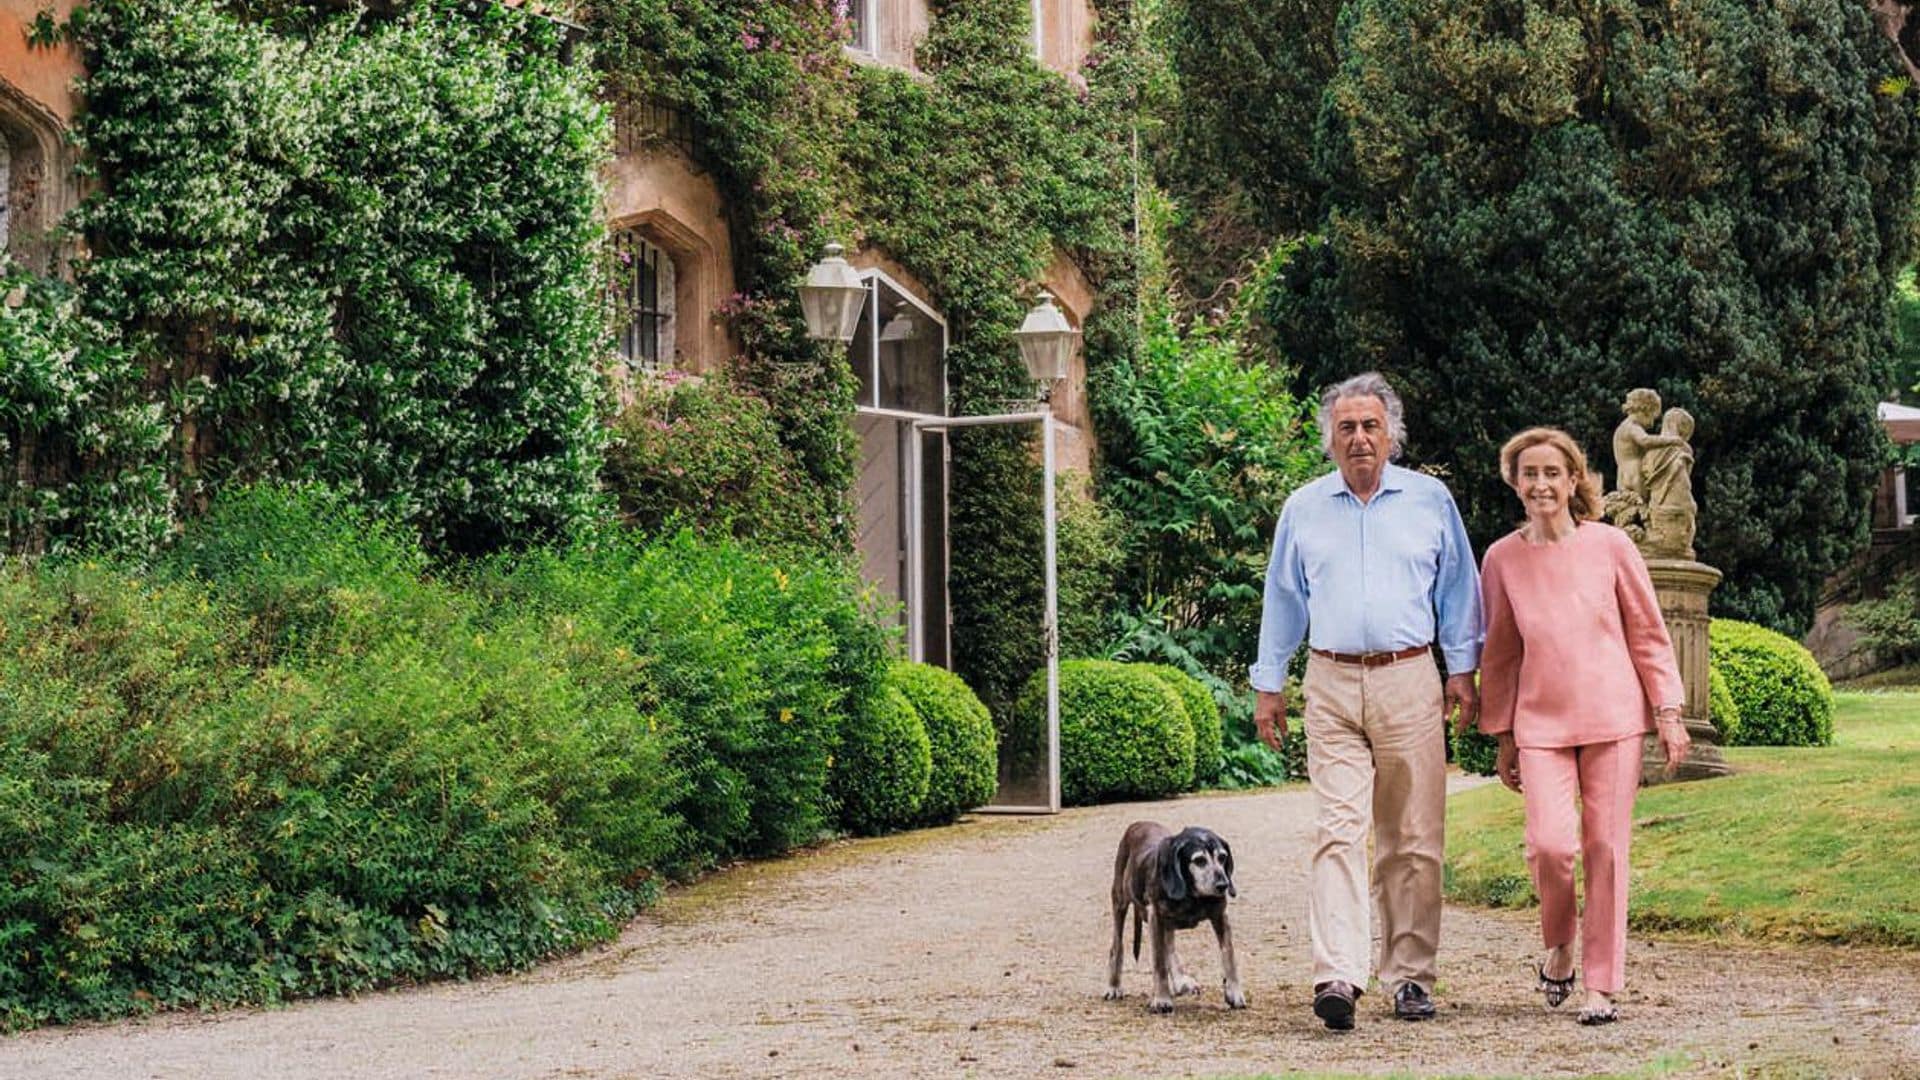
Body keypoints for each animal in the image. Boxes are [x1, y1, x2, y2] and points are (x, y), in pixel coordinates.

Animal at [1105, 822, 1251, 1006]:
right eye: (1199, 861)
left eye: (1222, 857)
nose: (1223, 885)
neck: (1191, 895)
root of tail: (1137, 824)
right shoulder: (1156, 917)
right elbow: (1159, 962)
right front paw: (1161, 999)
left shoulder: (1220, 917)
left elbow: (1229, 955)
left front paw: (1234, 992)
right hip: (1120, 902)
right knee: (1117, 946)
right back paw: (1114, 986)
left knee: (1170, 947)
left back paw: (1180, 981)